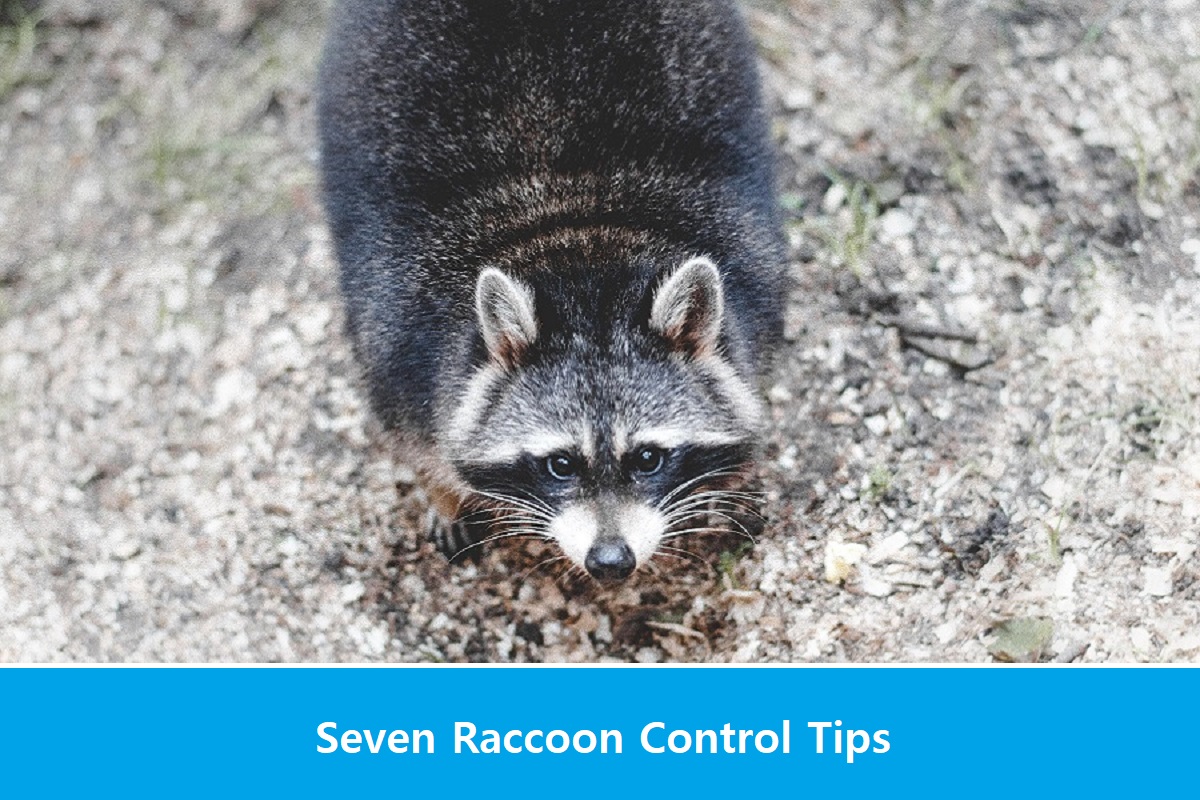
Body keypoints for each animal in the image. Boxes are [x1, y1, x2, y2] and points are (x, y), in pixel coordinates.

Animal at [318, 0, 786, 583]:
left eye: (648, 458)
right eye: (560, 464)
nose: (610, 561)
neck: (576, 238)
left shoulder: (753, 282)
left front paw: (723, 484)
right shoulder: (398, 339)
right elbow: (417, 437)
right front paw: (442, 493)